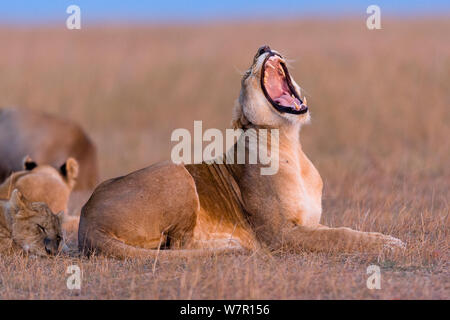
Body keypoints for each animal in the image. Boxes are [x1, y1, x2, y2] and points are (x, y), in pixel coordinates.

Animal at [77, 46, 404, 258]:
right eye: (248, 72)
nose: (264, 46)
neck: (290, 142)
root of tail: (86, 221)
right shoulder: (279, 235)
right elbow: (339, 236)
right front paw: (389, 245)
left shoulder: (309, 223)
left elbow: (344, 229)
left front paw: (384, 239)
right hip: (176, 172)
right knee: (180, 245)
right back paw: (229, 246)